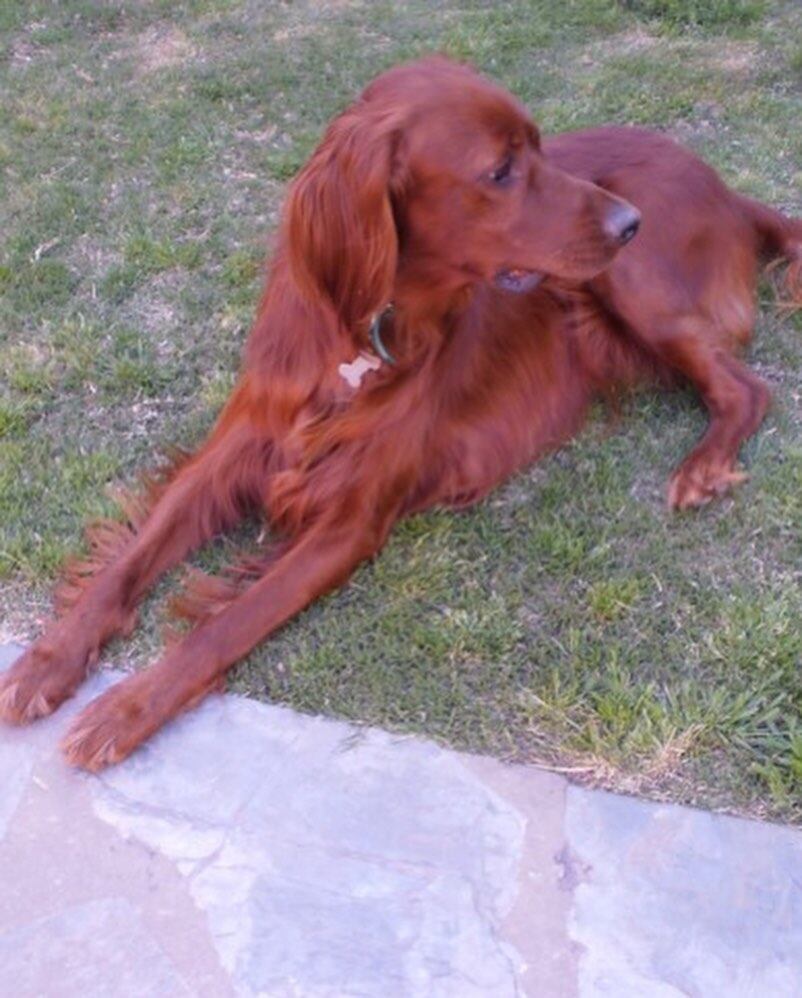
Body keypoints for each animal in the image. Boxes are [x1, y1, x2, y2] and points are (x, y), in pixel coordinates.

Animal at [1, 58, 800, 768]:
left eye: (539, 147)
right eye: (500, 171)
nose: (628, 221)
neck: (360, 339)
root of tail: (730, 192)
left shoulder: (350, 522)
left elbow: (229, 623)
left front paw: (127, 708)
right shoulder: (235, 449)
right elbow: (130, 560)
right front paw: (46, 661)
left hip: (631, 282)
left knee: (747, 388)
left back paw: (703, 467)